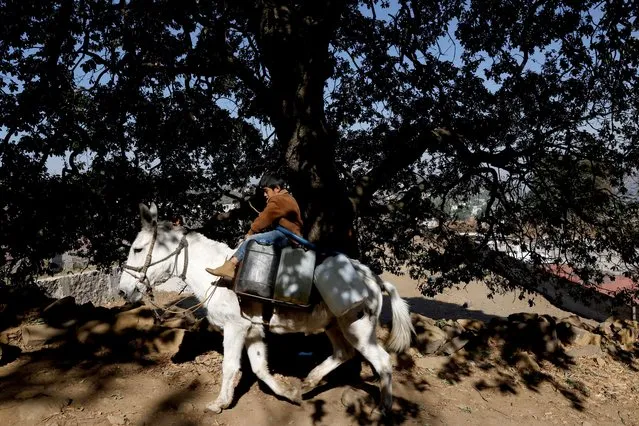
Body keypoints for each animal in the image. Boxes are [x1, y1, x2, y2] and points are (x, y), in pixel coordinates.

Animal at [117, 203, 412, 412]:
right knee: (343, 353)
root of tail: (373, 278)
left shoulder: (235, 328)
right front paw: (289, 394)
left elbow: (230, 366)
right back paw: (309, 382)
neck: (217, 276)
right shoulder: (253, 330)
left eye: (137, 249)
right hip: (334, 326)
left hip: (358, 328)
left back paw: (384, 408)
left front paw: (218, 404)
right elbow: (260, 369)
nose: (122, 290)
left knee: (382, 361)